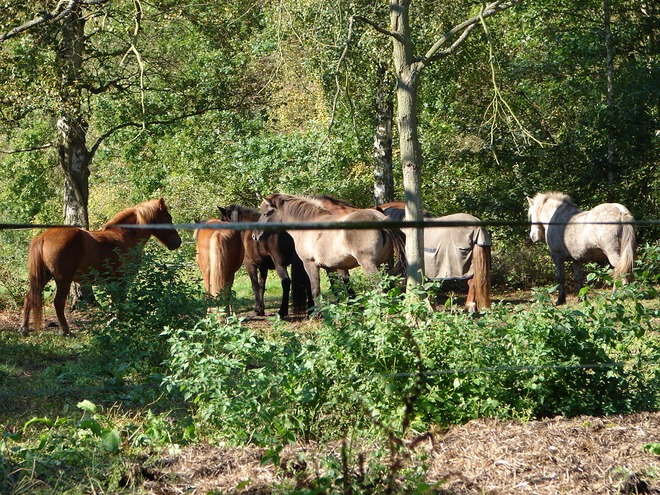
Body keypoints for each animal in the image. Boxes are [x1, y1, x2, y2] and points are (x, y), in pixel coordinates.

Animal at [18, 198, 183, 338]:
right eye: (168, 218)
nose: (178, 242)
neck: (125, 235)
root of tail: (43, 237)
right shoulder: (123, 280)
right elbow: (120, 301)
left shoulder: (113, 281)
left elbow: (112, 302)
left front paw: (112, 322)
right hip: (63, 280)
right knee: (58, 302)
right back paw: (65, 331)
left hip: (43, 277)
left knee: (29, 298)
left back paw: (24, 329)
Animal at [254, 193, 404, 302]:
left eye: (266, 213)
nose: (255, 236)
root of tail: (379, 219)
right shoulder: (330, 267)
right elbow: (336, 289)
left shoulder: (310, 264)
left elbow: (315, 291)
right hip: (383, 263)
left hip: (369, 264)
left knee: (379, 287)